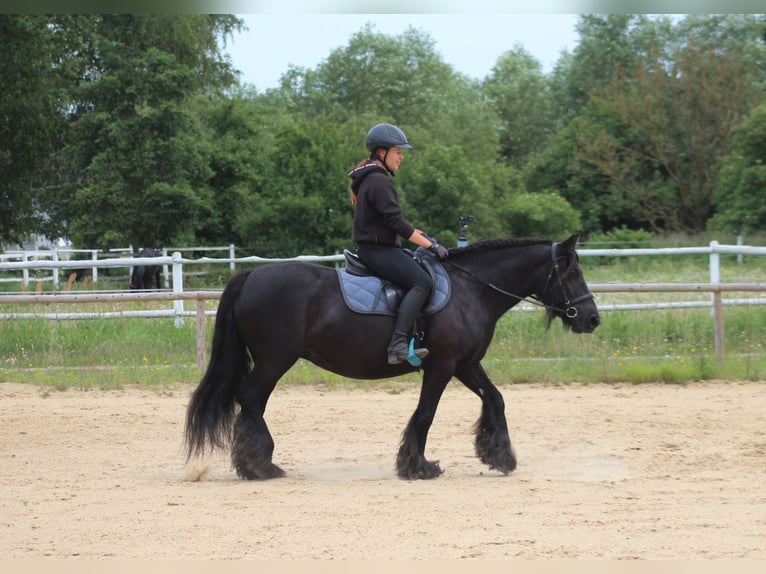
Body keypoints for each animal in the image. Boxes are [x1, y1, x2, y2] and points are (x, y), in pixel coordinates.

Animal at [184, 234, 600, 482]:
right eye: (572, 272)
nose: (592, 318)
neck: (472, 290)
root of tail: (250, 276)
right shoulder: (442, 366)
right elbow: (426, 413)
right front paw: (417, 465)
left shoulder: (466, 364)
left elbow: (495, 398)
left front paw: (498, 455)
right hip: (275, 360)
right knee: (250, 397)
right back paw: (260, 464)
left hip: (273, 361)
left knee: (251, 401)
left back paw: (253, 462)